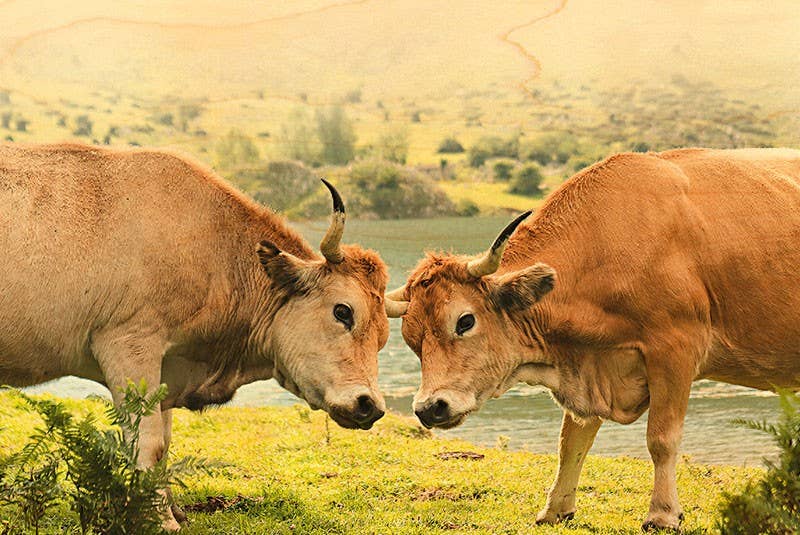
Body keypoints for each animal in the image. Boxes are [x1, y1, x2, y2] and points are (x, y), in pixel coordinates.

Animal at [0, 142, 391, 529]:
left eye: (384, 337)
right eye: (343, 311)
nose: (370, 405)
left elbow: (165, 441)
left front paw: (173, 512)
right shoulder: (129, 344)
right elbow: (149, 442)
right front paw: (160, 521)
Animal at [384, 148, 800, 530]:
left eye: (465, 321)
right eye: (410, 338)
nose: (428, 408)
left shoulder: (674, 350)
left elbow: (662, 438)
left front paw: (663, 514)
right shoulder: (587, 363)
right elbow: (571, 442)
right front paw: (556, 509)